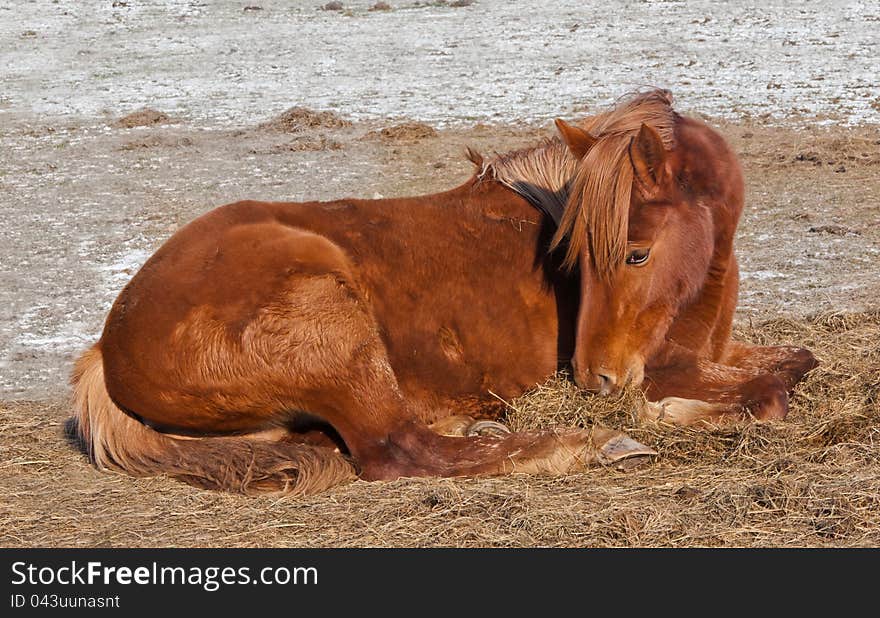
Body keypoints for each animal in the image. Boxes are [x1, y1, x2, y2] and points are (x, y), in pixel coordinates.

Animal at [70, 91, 820, 494]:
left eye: (637, 253)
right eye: (577, 259)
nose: (594, 380)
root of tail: (107, 347)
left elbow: (796, 360)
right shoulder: (667, 369)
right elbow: (770, 391)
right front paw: (667, 416)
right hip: (335, 331)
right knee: (399, 451)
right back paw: (588, 443)